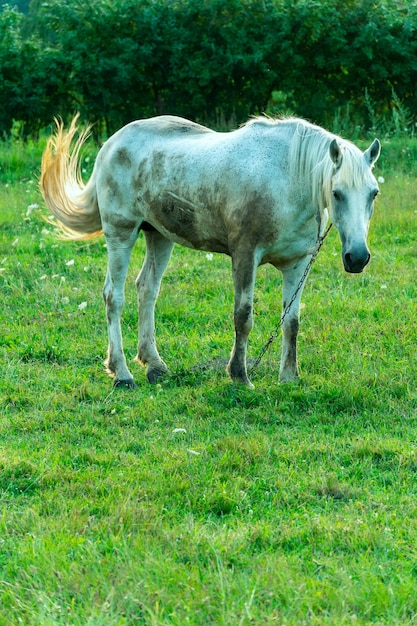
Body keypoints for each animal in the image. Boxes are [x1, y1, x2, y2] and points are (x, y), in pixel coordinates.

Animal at [39, 113, 380, 386]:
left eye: (373, 193)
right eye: (337, 193)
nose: (358, 257)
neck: (288, 180)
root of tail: (112, 144)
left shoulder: (297, 265)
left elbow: (291, 323)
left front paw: (289, 378)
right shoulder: (244, 256)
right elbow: (243, 317)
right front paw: (239, 375)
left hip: (159, 236)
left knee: (147, 290)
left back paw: (154, 365)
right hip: (120, 233)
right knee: (114, 296)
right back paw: (122, 373)